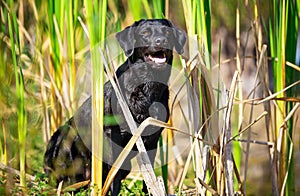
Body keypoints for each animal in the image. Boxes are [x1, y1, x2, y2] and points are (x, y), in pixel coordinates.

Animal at [44, 18, 185, 194]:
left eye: (167, 32)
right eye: (145, 33)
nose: (161, 40)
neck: (147, 89)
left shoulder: (152, 138)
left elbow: (149, 178)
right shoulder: (112, 137)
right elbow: (114, 177)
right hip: (66, 141)